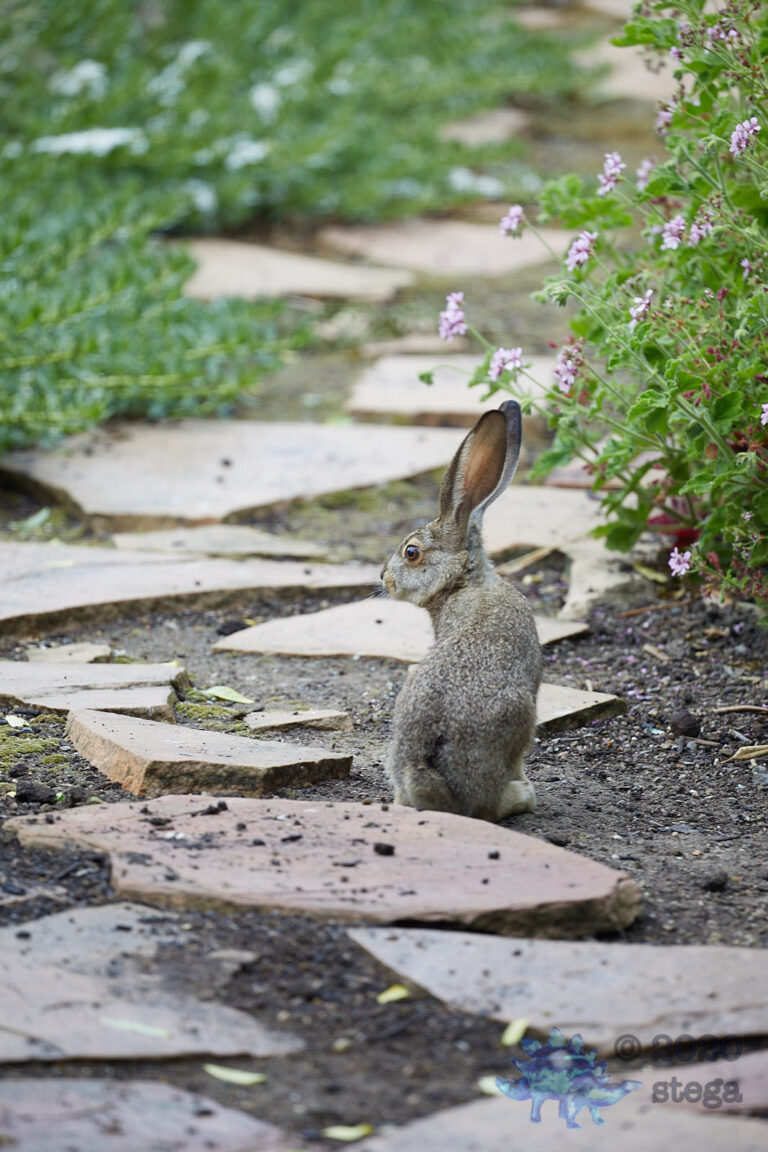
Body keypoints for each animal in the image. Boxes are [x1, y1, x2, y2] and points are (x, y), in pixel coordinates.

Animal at [381, 399, 541, 822]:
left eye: (412, 553)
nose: (384, 578)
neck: (466, 580)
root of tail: (421, 772)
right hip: (520, 717)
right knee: (486, 805)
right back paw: (522, 795)